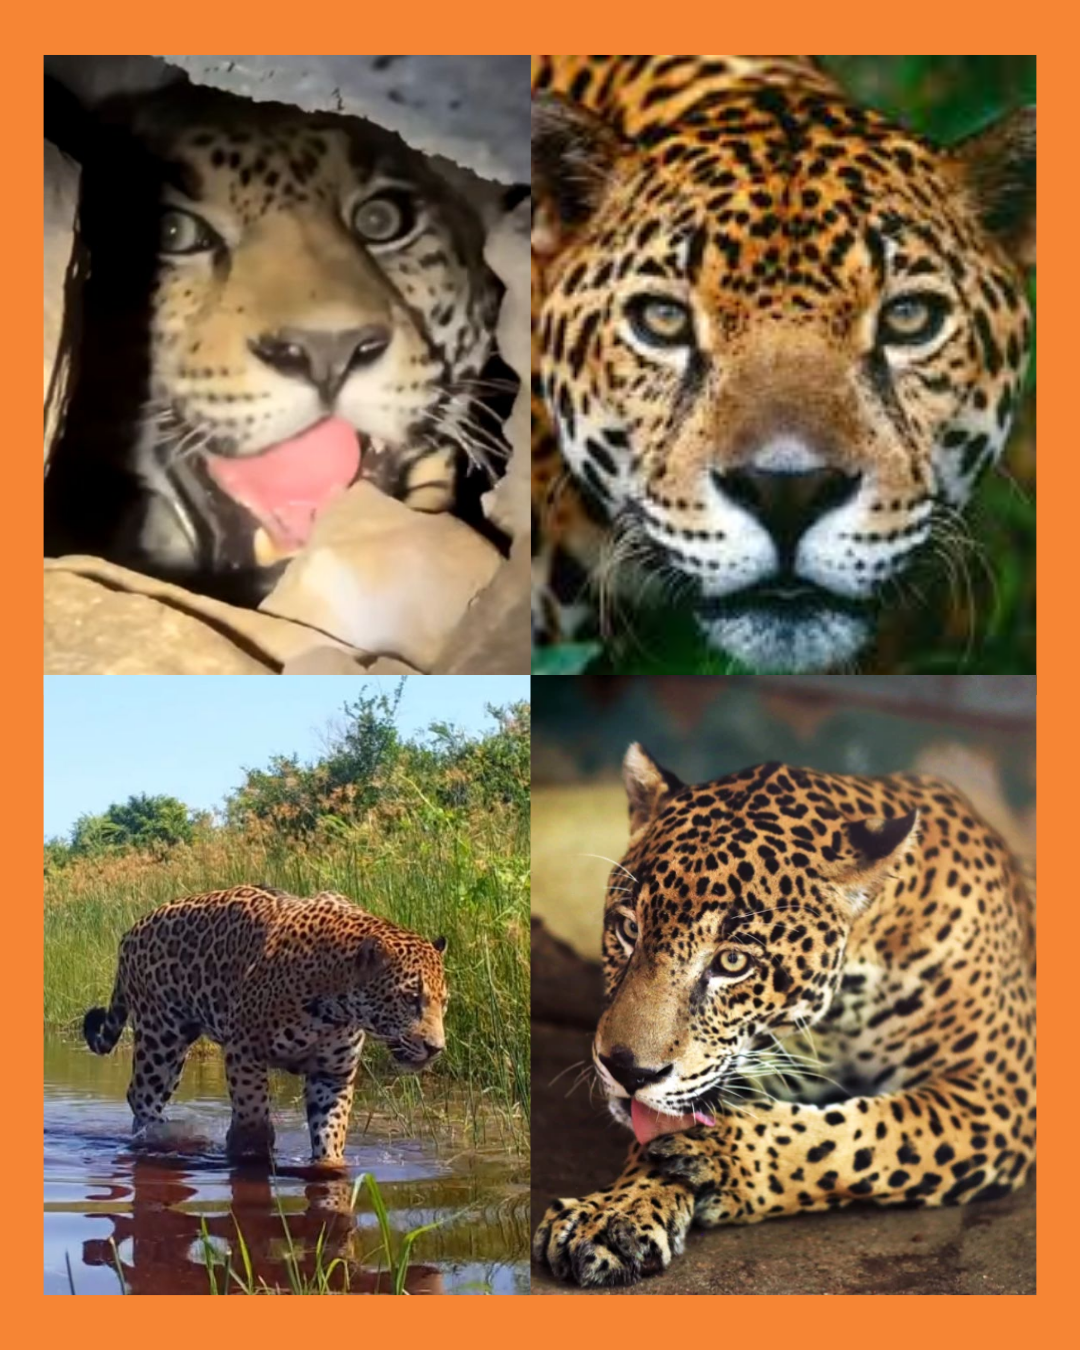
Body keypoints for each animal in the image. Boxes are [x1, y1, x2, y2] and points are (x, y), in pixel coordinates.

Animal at [83, 884, 448, 1165]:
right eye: (410, 998)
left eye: (443, 1002)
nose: (436, 1048)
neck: (334, 1006)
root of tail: (131, 931)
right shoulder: (245, 1050)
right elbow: (253, 1112)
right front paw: (248, 1149)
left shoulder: (333, 1074)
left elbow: (330, 1131)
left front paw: (329, 1164)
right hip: (161, 1038)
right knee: (141, 1096)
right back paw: (168, 1136)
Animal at [533, 746, 1036, 1287]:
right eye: (629, 929)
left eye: (733, 962)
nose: (626, 1070)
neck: (841, 1010)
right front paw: (614, 1213)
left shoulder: (994, 1094)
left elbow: (862, 1136)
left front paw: (719, 1152)